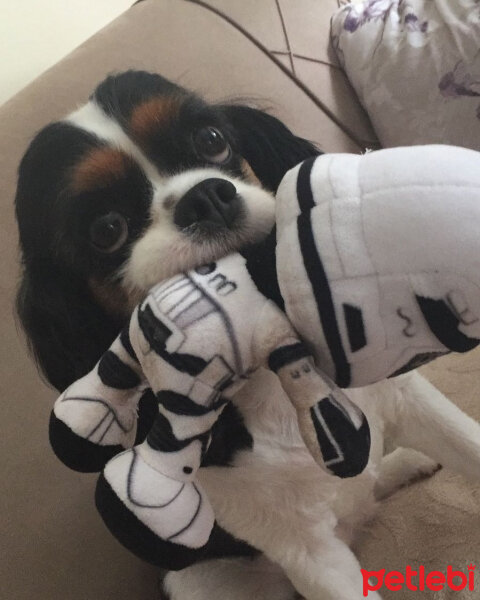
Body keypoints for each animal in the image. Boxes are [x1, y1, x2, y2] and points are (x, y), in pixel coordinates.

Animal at [15, 69, 480, 596]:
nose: (204, 198)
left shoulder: (409, 399)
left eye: (212, 139)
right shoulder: (304, 552)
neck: (271, 375)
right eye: (107, 229)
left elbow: (466, 442)